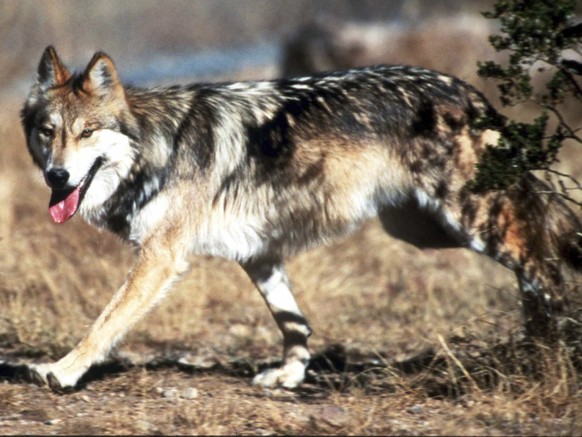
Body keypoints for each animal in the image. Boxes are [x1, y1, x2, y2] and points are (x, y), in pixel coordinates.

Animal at [19, 46, 582, 392]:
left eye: (87, 132)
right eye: (49, 132)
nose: (56, 176)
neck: (158, 147)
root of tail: (467, 91)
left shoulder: (160, 258)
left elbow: (103, 323)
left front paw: (61, 371)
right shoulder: (259, 255)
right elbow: (295, 323)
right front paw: (290, 377)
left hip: (470, 220)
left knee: (545, 264)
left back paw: (556, 354)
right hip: (424, 231)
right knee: (537, 259)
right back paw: (538, 349)